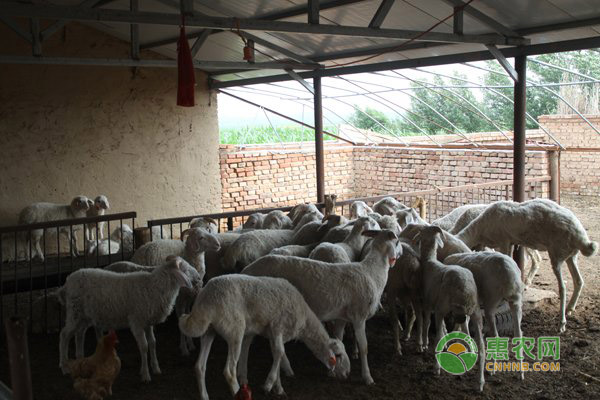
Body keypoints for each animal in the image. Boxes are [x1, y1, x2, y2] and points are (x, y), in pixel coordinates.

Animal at [57, 255, 191, 382]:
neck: (154, 286)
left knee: (79, 334)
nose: (192, 283)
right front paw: (145, 374)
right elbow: (144, 346)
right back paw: (64, 367)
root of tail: (67, 282)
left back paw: (81, 359)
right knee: (64, 335)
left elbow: (153, 343)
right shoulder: (137, 321)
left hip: (84, 316)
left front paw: (156, 368)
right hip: (75, 312)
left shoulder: (147, 321)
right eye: (184, 268)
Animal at [177, 276, 352, 400]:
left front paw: (278, 388)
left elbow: (277, 355)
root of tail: (206, 300)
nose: (347, 374)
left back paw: (204, 396)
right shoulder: (277, 326)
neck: (304, 322)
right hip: (234, 329)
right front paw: (268, 385)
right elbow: (280, 353)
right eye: (338, 355)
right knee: (229, 371)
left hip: (208, 331)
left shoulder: (268, 333)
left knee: (200, 366)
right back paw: (237, 393)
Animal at [241, 228, 400, 384]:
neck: (373, 272)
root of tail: (246, 270)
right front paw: (367, 377)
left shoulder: (342, 317)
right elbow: (364, 347)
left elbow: (339, 338)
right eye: (397, 242)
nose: (398, 256)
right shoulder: (359, 316)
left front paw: (334, 369)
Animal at [410, 227, 486, 392]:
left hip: (442, 308)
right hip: (474, 312)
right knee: (482, 346)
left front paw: (424, 344)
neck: (429, 261)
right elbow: (451, 330)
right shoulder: (455, 314)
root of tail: (465, 289)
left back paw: (436, 368)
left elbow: (427, 323)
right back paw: (480, 382)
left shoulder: (430, 305)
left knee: (437, 335)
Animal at [458, 198, 596, 332]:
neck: (479, 230)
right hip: (571, 255)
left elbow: (507, 257)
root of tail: (582, 239)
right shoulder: (502, 243)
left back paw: (561, 324)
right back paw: (570, 309)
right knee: (579, 281)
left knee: (562, 287)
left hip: (557, 254)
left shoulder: (504, 241)